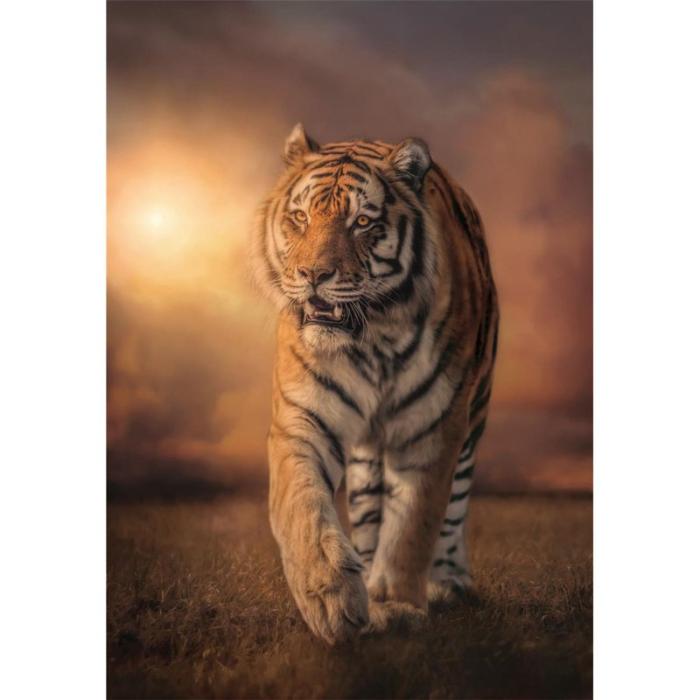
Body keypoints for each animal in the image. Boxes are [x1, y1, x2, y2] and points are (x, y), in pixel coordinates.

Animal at [251, 123, 499, 644]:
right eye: (300, 217)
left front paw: (397, 604)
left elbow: (413, 526)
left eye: (362, 221)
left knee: (454, 508)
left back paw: (448, 582)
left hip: (474, 419)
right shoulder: (302, 419)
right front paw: (331, 598)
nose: (313, 275)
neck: (372, 339)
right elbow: (302, 505)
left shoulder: (433, 429)